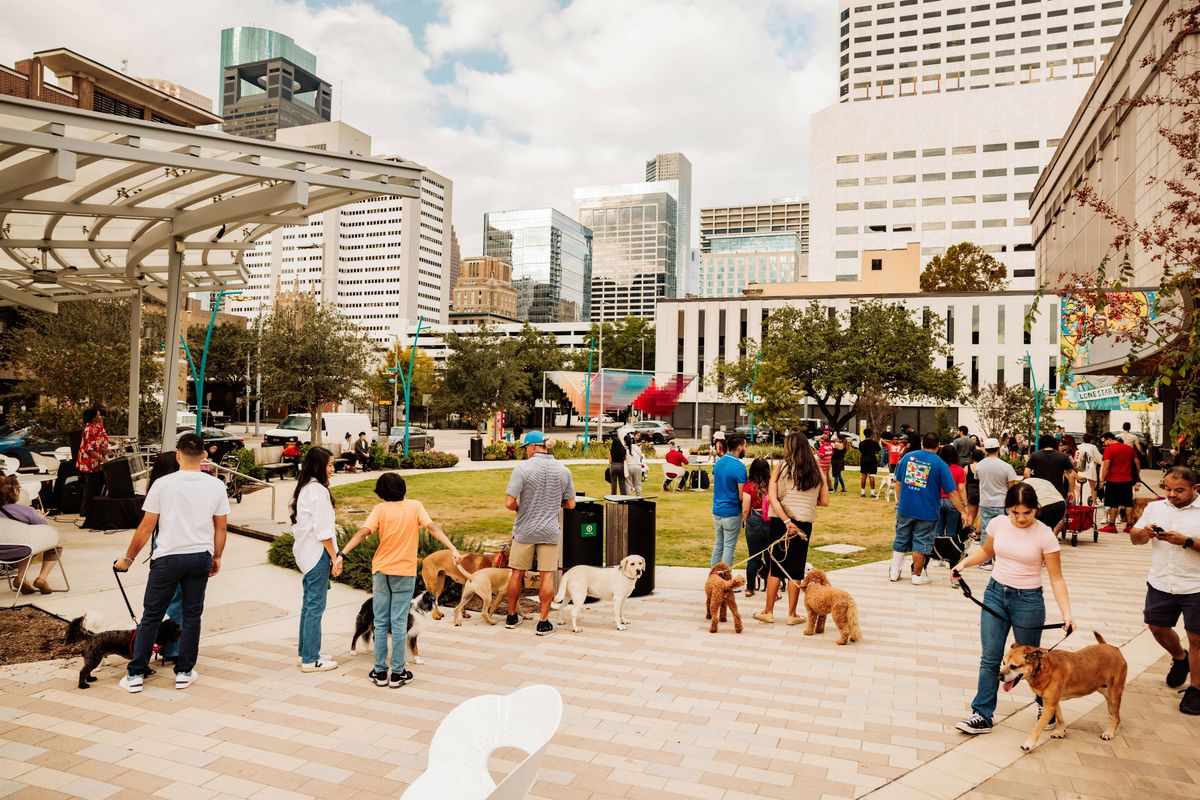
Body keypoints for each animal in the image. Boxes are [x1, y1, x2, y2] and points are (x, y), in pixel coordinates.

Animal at [998, 633, 1128, 753]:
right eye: (1003, 663)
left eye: (1013, 666)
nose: (999, 676)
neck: (1041, 668)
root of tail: (1115, 648)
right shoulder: (1053, 702)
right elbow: (1060, 717)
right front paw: (1061, 731)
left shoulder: (1049, 706)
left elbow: (1038, 727)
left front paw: (1028, 744)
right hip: (1104, 691)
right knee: (1113, 714)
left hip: (1114, 694)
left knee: (1117, 717)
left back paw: (1109, 732)